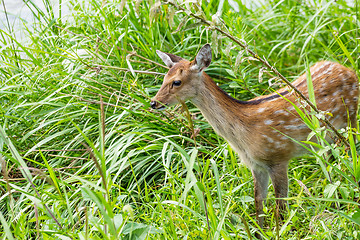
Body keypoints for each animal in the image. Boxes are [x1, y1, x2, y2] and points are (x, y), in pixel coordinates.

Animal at [150, 43, 360, 231]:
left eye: (177, 82)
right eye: (164, 78)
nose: (153, 103)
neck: (244, 134)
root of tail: (350, 71)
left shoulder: (278, 157)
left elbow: (280, 206)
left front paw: (281, 231)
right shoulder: (255, 165)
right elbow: (258, 203)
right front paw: (260, 231)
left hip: (351, 119)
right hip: (325, 139)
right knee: (330, 164)